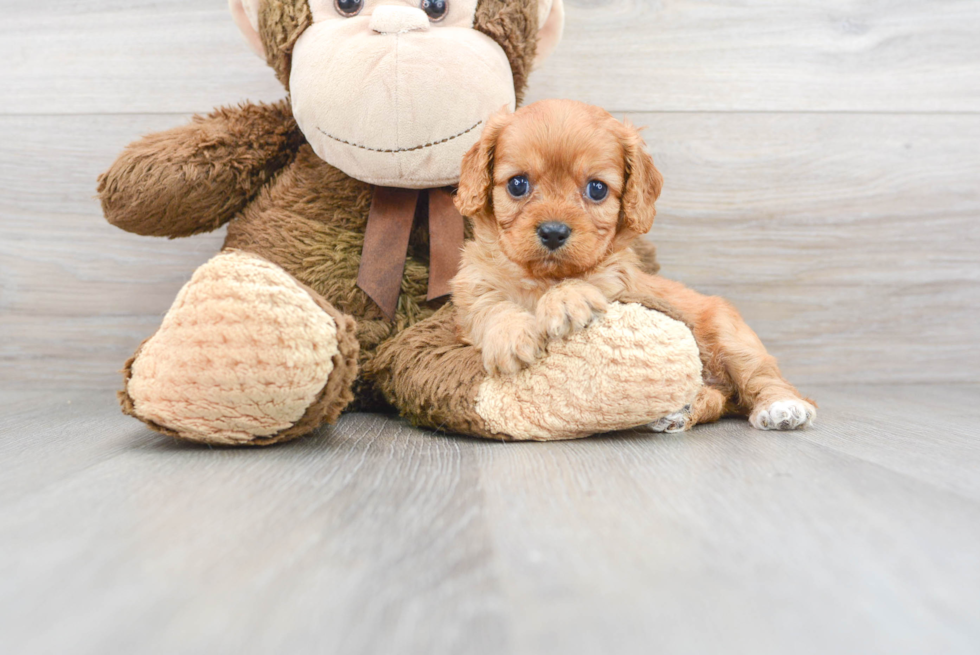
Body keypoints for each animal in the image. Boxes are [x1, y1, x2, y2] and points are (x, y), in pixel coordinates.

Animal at [450, 98, 812, 430]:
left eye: (597, 189)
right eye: (517, 184)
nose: (553, 232)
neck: (542, 278)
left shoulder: (619, 284)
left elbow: (589, 280)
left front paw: (566, 300)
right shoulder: (472, 291)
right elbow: (491, 306)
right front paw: (511, 335)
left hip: (731, 338)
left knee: (762, 378)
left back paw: (782, 408)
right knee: (718, 400)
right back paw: (680, 410)